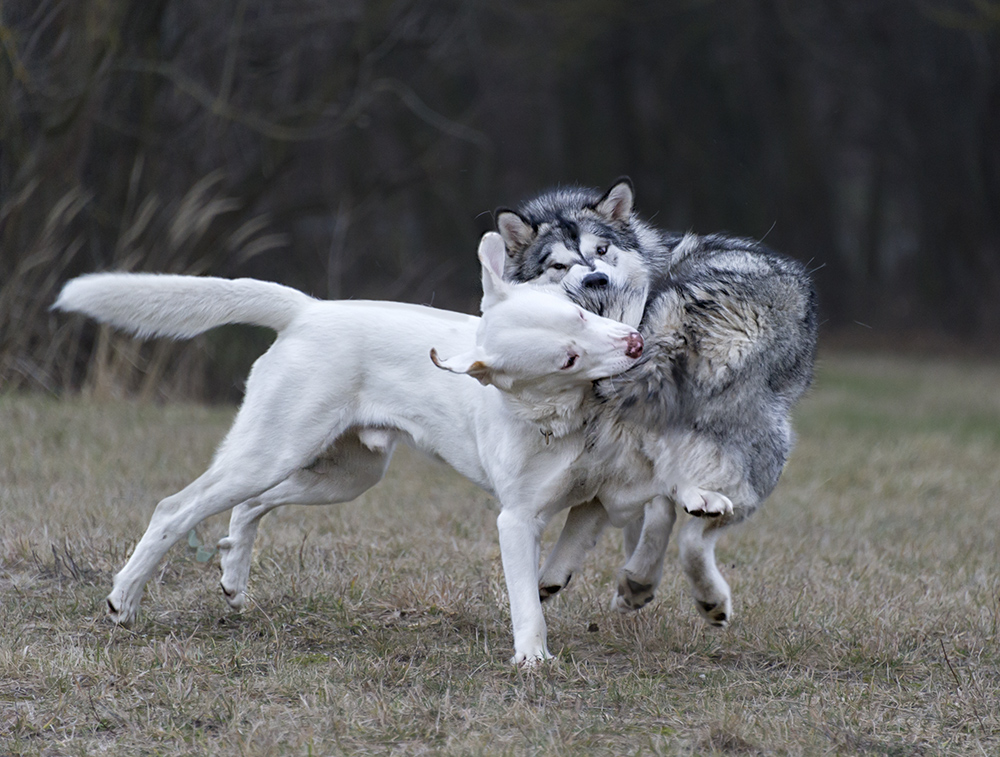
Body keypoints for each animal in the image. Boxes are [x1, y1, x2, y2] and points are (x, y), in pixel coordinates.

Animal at [54, 235, 644, 660]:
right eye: (566, 357)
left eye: (581, 315)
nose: (637, 344)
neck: (564, 417)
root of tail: (308, 310)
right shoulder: (517, 521)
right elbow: (526, 603)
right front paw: (533, 660)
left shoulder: (606, 499)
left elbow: (576, 554)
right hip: (269, 454)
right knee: (174, 508)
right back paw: (124, 600)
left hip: (344, 476)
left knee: (249, 507)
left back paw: (233, 582)